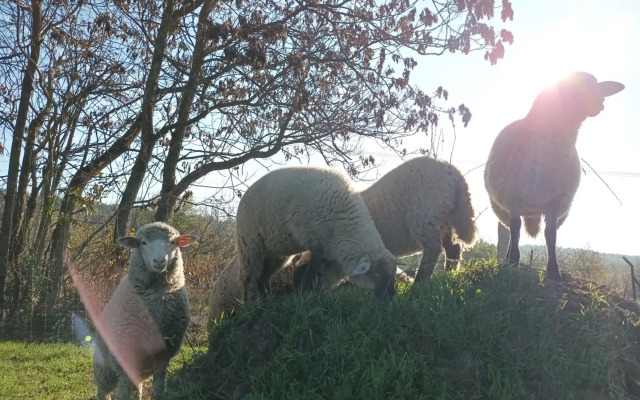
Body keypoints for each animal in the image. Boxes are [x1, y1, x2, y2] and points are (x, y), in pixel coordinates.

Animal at [92, 222, 194, 400]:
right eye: (143, 243)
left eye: (173, 242)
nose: (159, 260)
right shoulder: (125, 354)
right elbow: (124, 391)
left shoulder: (163, 353)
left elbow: (159, 383)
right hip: (103, 367)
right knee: (103, 390)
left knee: (137, 386)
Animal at [236, 165, 399, 303]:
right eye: (376, 275)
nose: (390, 299)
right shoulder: (315, 242)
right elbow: (312, 273)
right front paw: (305, 295)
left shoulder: (327, 249)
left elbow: (319, 276)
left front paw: (314, 294)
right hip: (250, 246)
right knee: (248, 278)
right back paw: (249, 305)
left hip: (277, 251)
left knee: (264, 277)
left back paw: (268, 299)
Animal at [484, 71, 624, 280]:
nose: (601, 103)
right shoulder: (513, 197)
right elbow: (516, 229)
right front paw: (513, 261)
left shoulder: (557, 204)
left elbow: (550, 235)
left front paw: (554, 271)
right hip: (501, 208)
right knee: (510, 230)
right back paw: (508, 258)